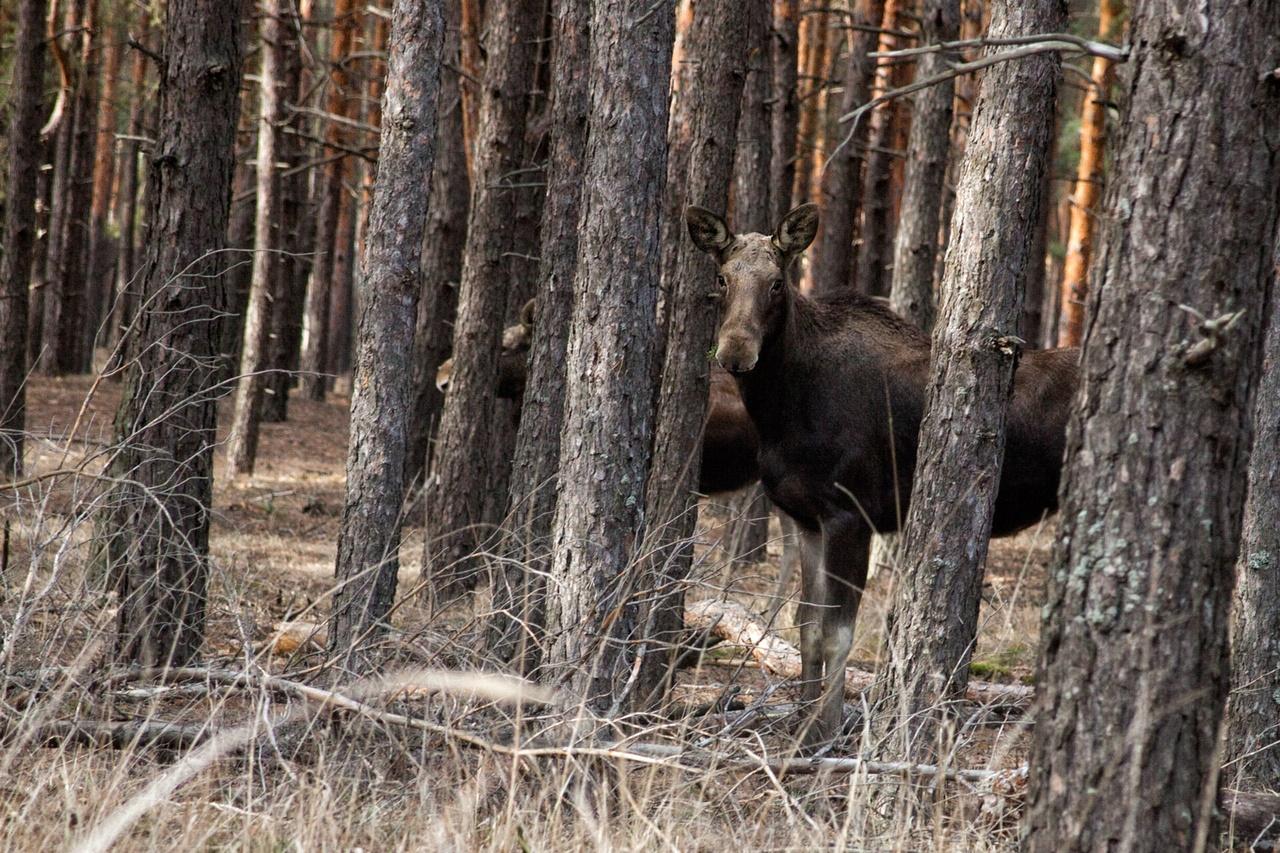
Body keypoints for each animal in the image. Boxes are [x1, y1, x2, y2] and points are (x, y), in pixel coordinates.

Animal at [691, 202, 1080, 742]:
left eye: (776, 283)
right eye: (722, 278)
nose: (735, 353)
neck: (779, 411)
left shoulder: (850, 515)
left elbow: (837, 633)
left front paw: (828, 730)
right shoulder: (806, 519)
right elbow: (805, 626)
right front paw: (803, 725)